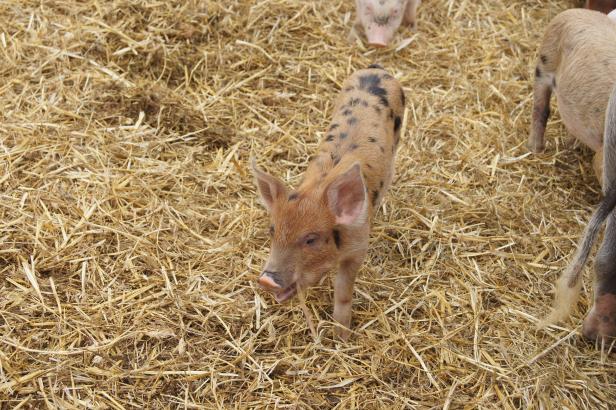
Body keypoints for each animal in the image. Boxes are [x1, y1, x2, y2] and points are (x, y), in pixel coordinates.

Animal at [250, 65, 404, 340]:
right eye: (272, 231)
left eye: (311, 239)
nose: (266, 280)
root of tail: (376, 70)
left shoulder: (358, 249)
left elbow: (343, 292)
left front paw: (342, 337)